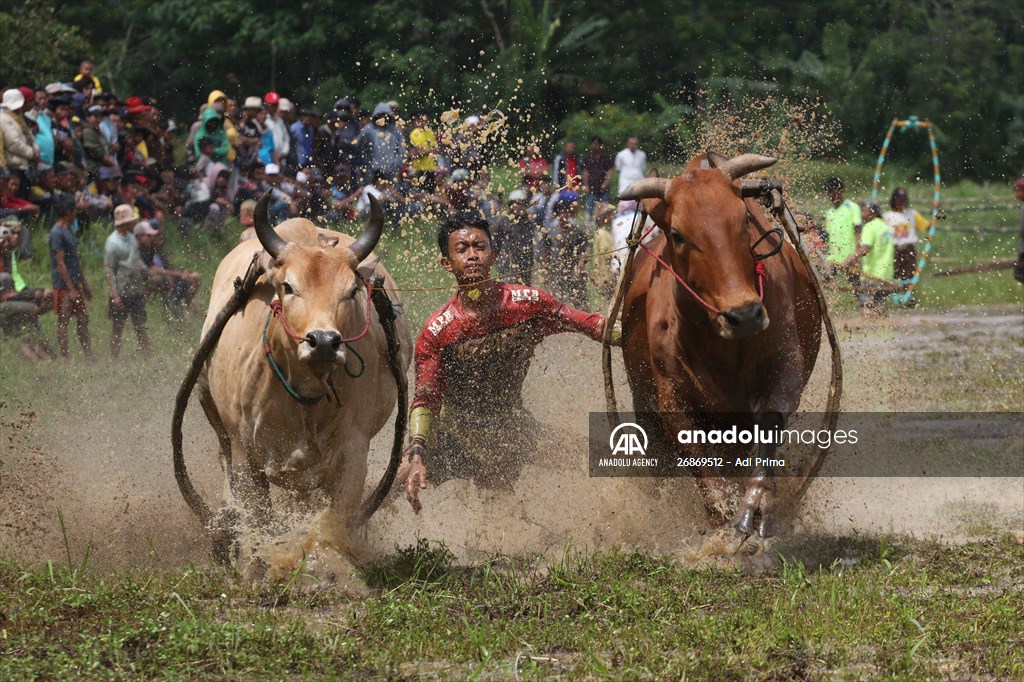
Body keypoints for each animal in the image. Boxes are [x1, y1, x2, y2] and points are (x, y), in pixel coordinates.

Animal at [196, 193, 411, 587]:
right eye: (288, 287)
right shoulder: (246, 452)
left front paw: (331, 568)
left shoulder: (353, 449)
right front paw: (258, 566)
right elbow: (258, 517)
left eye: (352, 290)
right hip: (211, 408)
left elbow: (334, 518)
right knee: (224, 462)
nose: (324, 341)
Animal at [618, 152, 821, 538]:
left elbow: (769, 425)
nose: (744, 315)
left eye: (743, 219)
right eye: (678, 235)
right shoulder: (672, 401)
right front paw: (722, 529)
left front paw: (758, 501)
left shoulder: (784, 370)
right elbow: (707, 476)